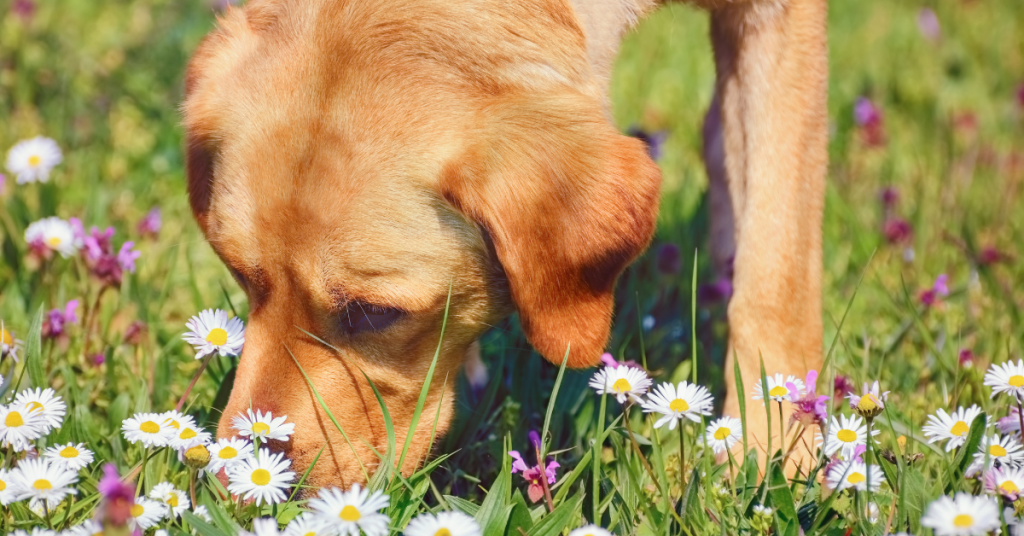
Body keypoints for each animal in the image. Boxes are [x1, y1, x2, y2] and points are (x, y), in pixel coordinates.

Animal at [182, 0, 823, 487]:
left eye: (372, 314)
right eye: (239, 274)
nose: (231, 487)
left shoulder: (777, 19)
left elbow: (777, 277)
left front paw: (779, 452)